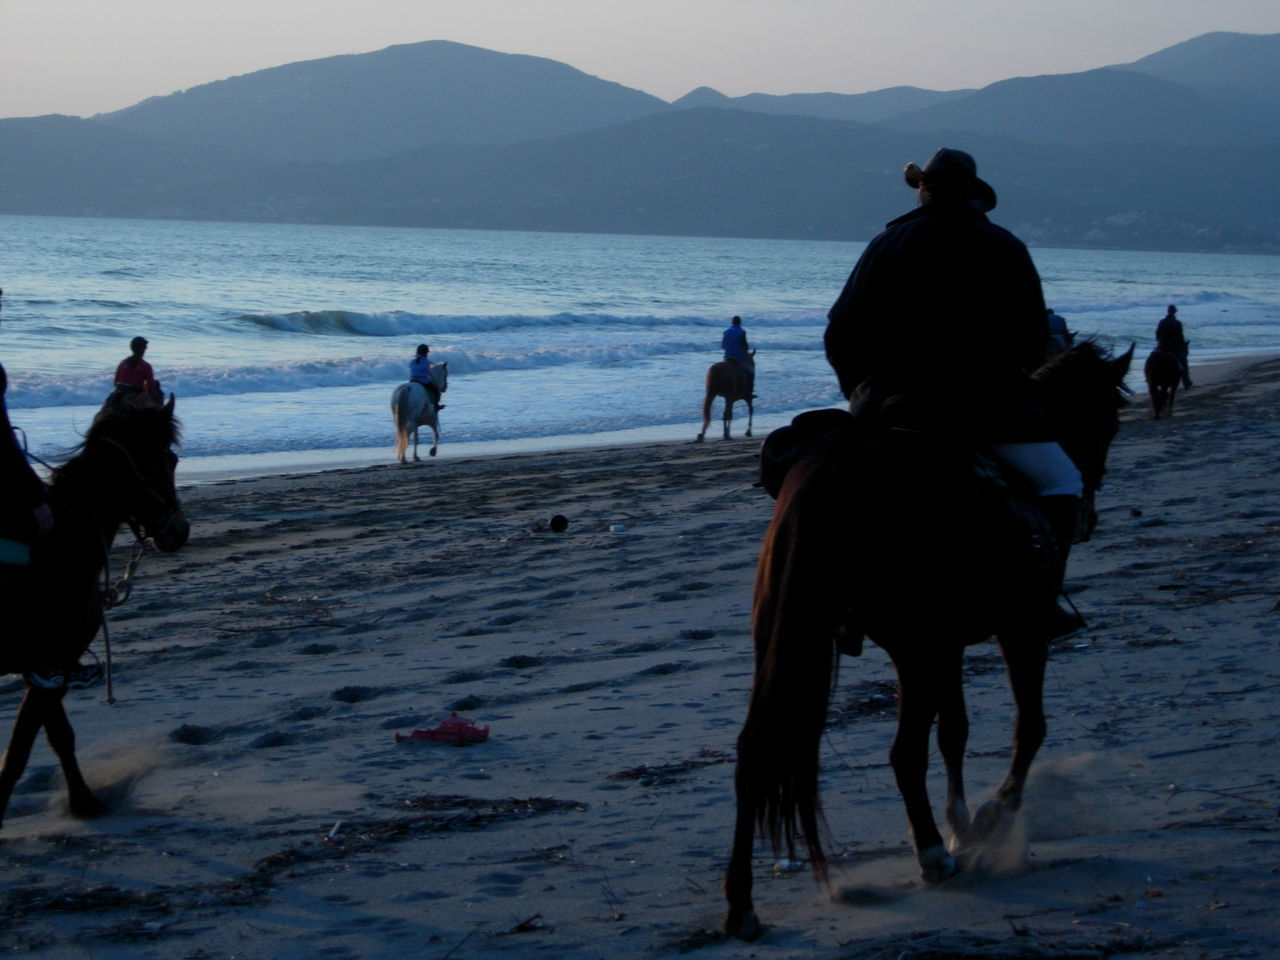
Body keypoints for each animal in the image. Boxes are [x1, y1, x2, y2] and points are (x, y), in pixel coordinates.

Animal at [0, 394, 188, 829]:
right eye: (169, 460)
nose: (180, 530)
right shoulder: (51, 662)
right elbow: (25, 749)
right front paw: (84, 801)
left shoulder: (45, 667)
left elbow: (51, 736)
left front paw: (81, 801)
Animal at [727, 343, 1136, 942]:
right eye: (1110, 418)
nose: (1089, 513)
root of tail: (841, 466)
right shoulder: (1016, 629)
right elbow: (1028, 726)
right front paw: (990, 816)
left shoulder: (943, 643)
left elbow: (955, 731)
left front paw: (960, 822)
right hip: (922, 646)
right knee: (903, 752)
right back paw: (931, 858)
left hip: (799, 641)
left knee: (754, 751)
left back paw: (741, 904)